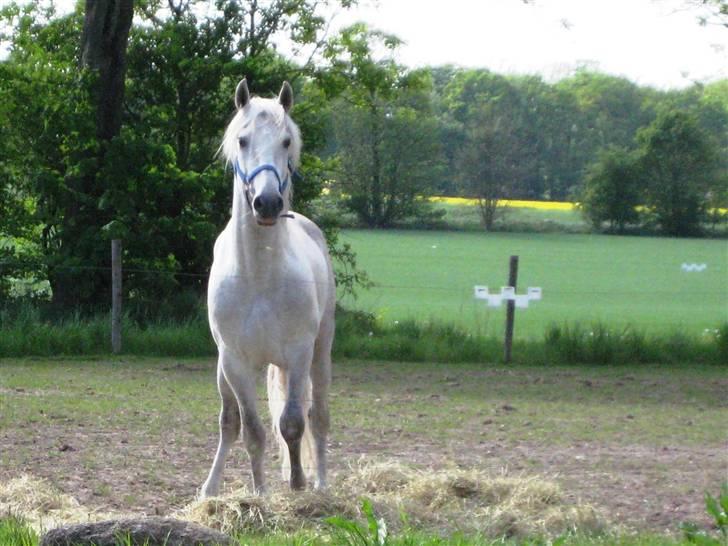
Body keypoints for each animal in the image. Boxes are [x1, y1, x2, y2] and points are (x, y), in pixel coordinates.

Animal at [199, 79, 336, 492]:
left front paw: (298, 483)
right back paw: (210, 489)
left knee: (318, 417)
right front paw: (259, 494)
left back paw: (321, 484)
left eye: (286, 141)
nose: (268, 203)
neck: (259, 277)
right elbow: (252, 432)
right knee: (229, 422)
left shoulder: (299, 354)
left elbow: (292, 423)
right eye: (242, 140)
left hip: (320, 354)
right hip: (223, 370)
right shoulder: (235, 362)